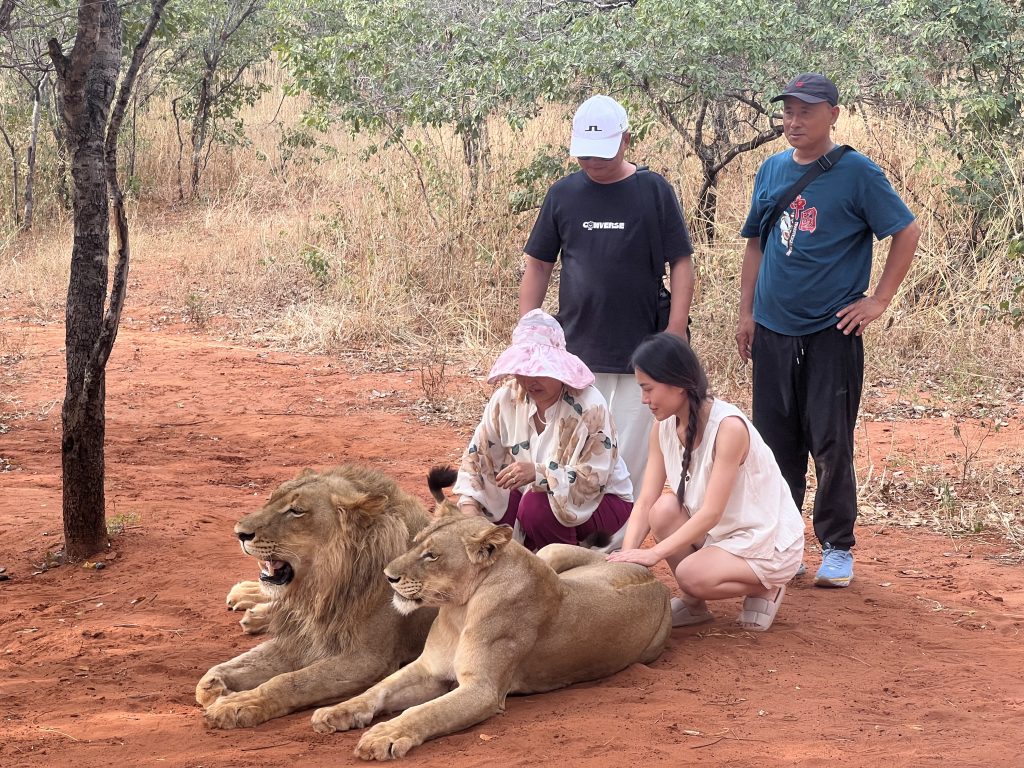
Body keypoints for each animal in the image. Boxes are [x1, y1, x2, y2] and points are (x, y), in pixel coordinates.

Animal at [196, 464, 436, 729]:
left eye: (296, 511)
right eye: (269, 499)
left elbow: (290, 681)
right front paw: (216, 686)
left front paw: (240, 703)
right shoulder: (301, 639)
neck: (319, 592)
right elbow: (228, 669)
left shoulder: (368, 659)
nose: (239, 533)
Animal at [310, 467, 672, 760]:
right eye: (415, 543)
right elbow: (379, 689)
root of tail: (655, 579)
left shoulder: (482, 690)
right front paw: (336, 711)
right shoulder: (428, 669)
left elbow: (423, 713)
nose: (388, 576)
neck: (458, 611)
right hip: (551, 552)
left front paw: (385, 734)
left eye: (432, 555)